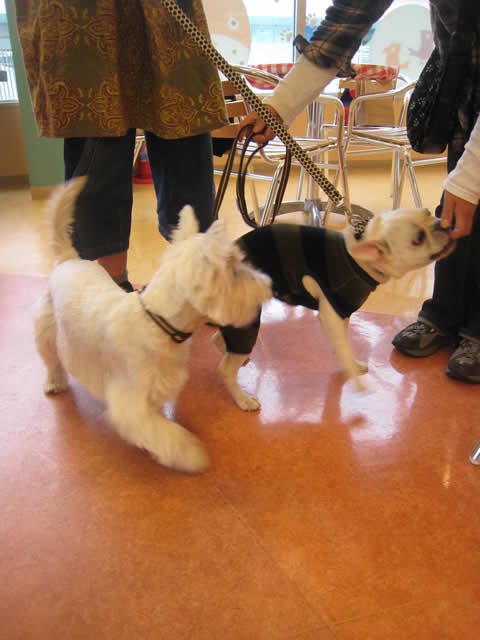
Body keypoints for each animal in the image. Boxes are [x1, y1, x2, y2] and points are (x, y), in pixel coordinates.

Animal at [34, 177, 272, 472]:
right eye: (237, 272)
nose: (268, 285)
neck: (159, 324)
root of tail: (68, 259)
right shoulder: (131, 403)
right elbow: (166, 433)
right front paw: (193, 456)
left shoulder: (158, 388)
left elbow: (159, 424)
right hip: (46, 329)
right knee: (51, 360)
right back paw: (55, 382)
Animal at [213, 208, 456, 410]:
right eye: (418, 239)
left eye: (429, 213)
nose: (444, 224)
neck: (358, 260)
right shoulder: (331, 314)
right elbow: (344, 347)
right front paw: (357, 381)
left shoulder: (342, 313)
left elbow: (344, 345)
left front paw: (351, 365)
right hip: (247, 321)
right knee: (225, 368)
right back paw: (242, 398)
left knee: (219, 341)